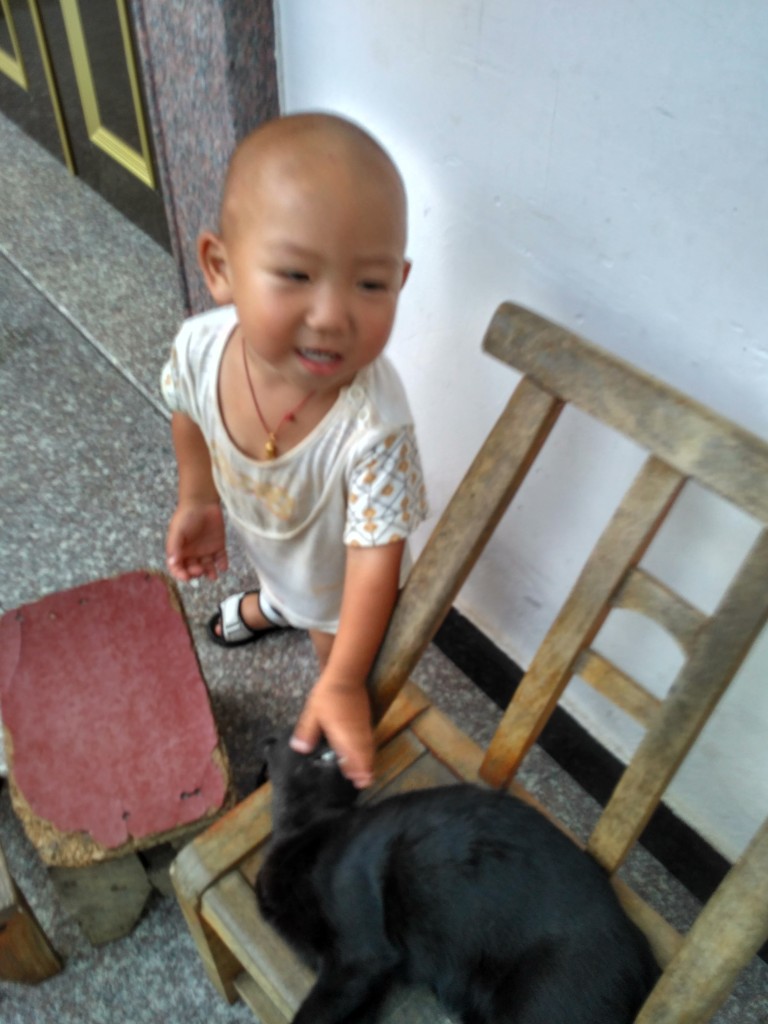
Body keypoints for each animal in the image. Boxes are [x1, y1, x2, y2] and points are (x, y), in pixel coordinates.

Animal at [256, 737, 659, 1024]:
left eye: (325, 753)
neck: (306, 830)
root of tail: (644, 956)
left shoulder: (358, 957)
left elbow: (311, 1016)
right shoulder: (366, 981)